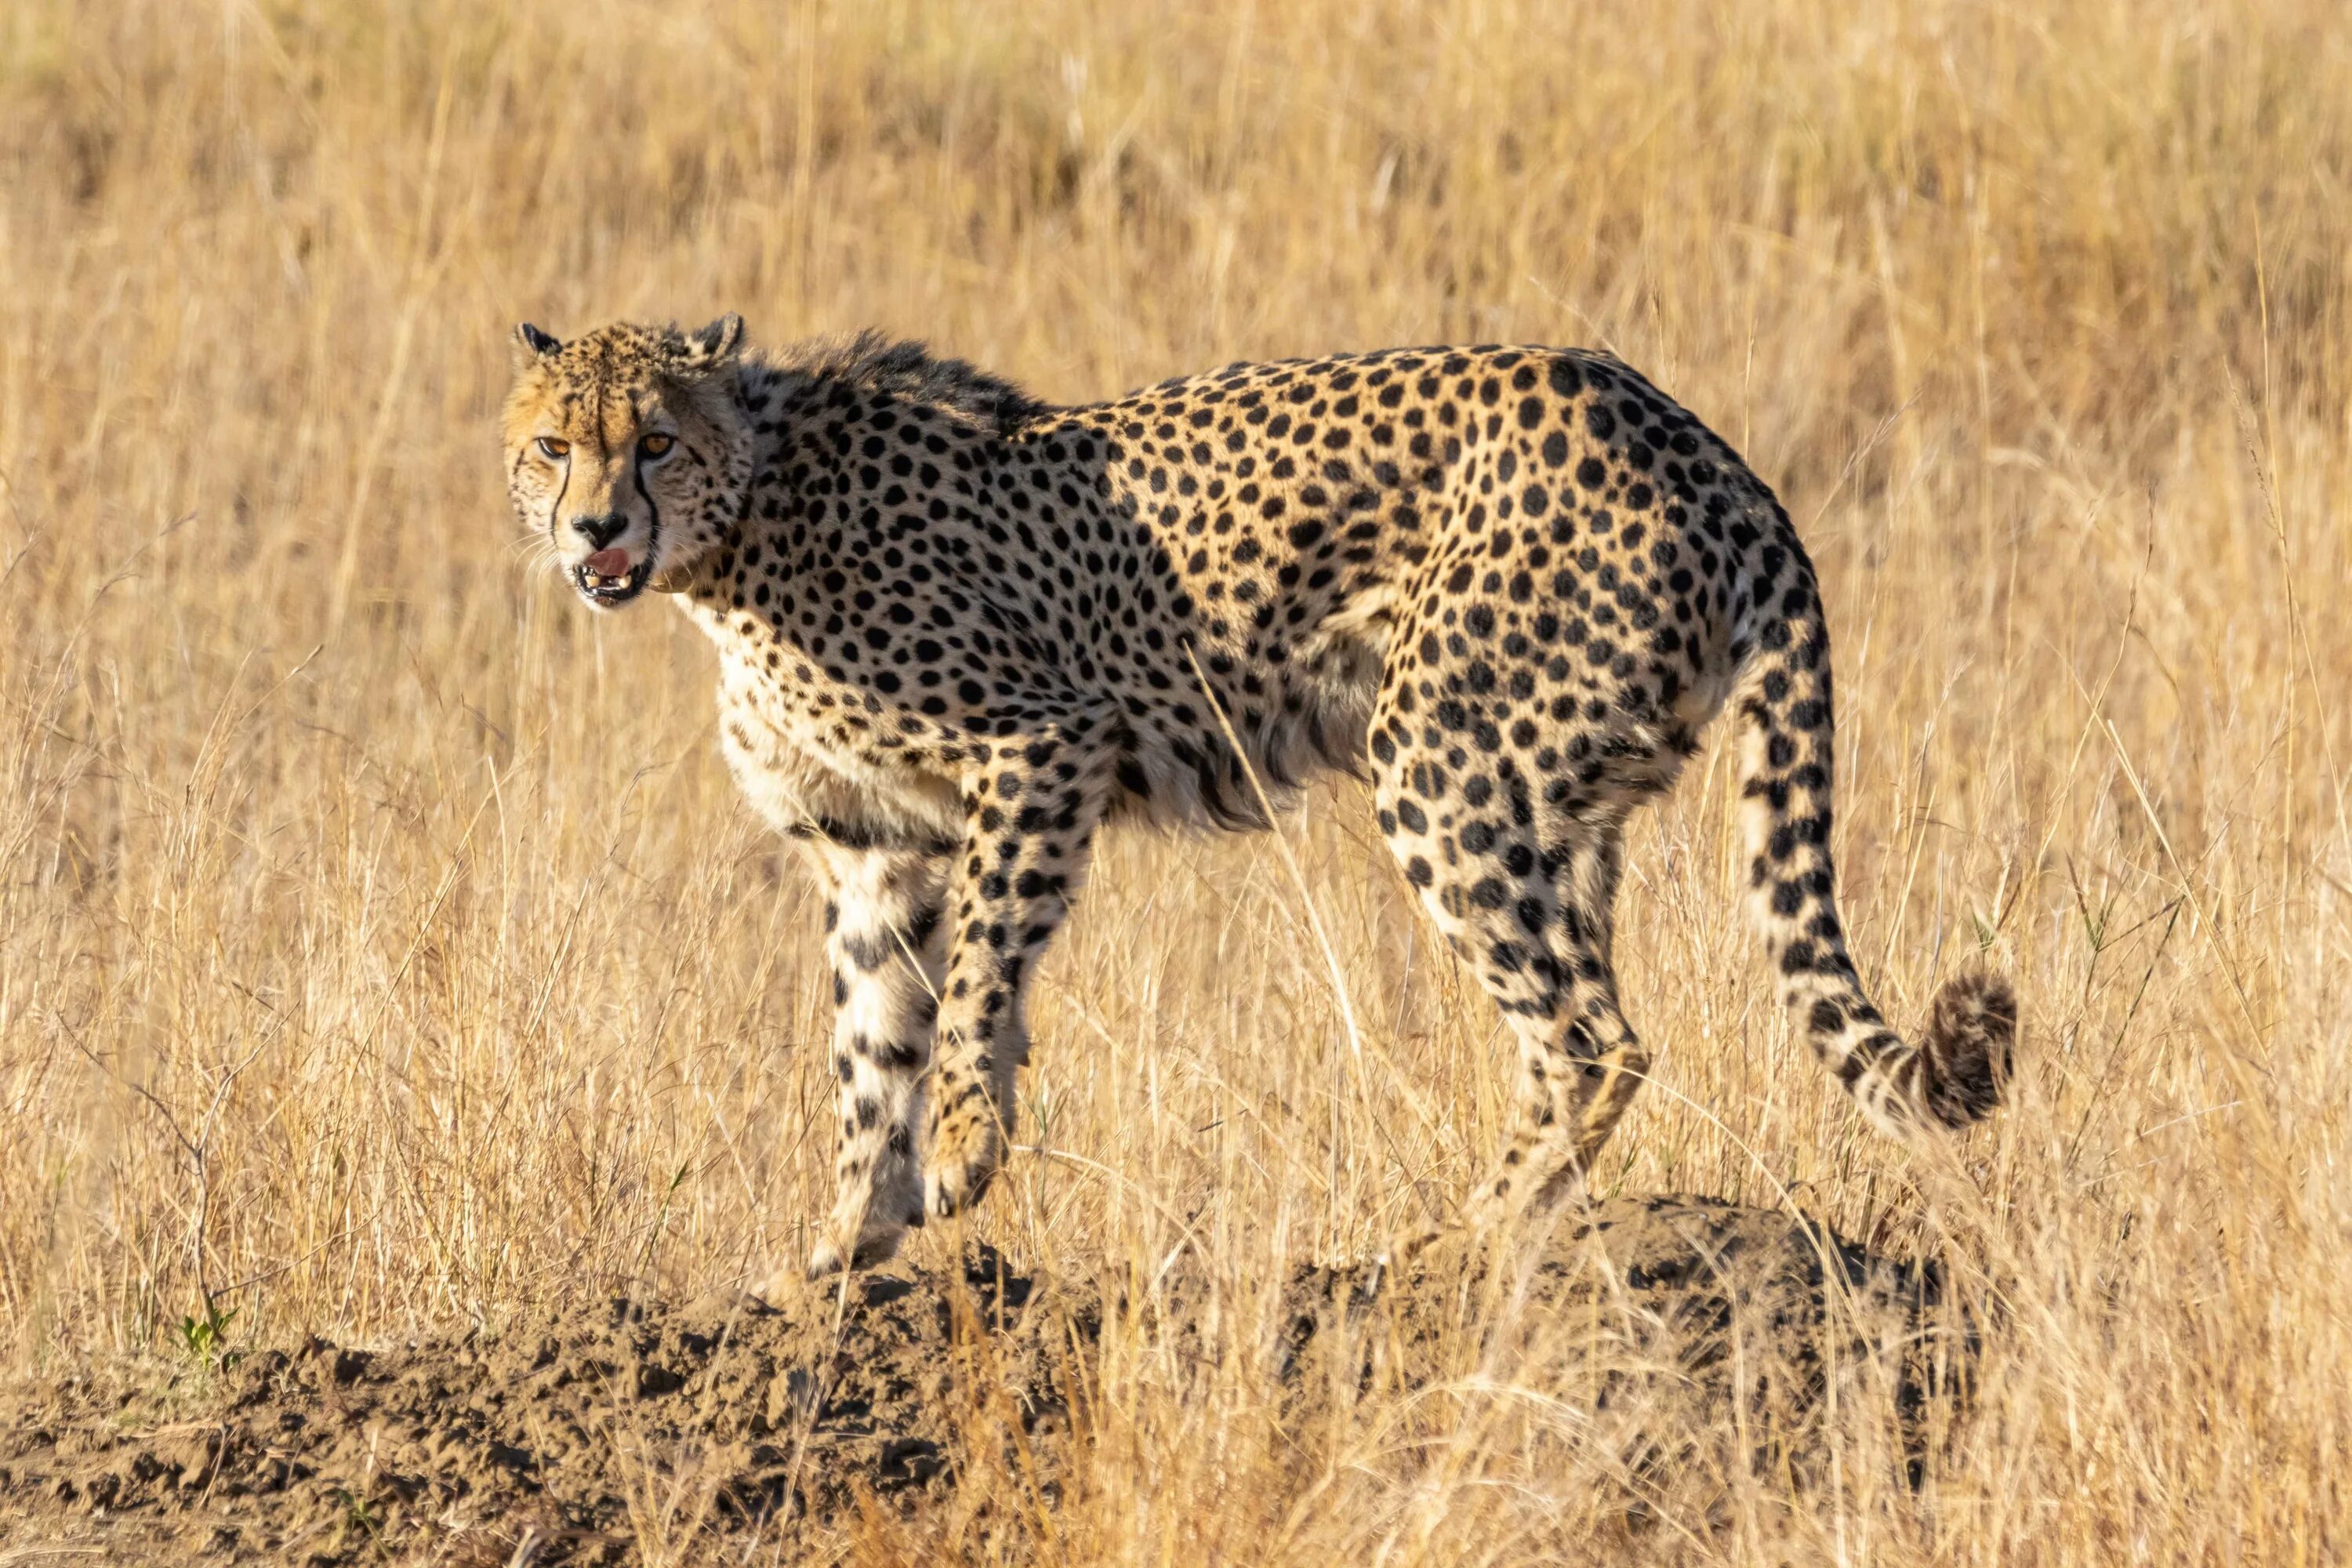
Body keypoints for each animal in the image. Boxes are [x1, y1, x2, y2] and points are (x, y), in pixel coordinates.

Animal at [501, 314, 2023, 1279]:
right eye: (551, 447)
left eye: (653, 442)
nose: (596, 528)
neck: (742, 531)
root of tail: (1690, 435)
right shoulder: (875, 847)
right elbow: (870, 1047)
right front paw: (842, 1248)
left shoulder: (1039, 745)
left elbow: (981, 978)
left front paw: (967, 1151)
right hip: (1565, 796)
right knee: (1582, 1022)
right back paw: (1515, 1228)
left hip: (1439, 758)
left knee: (1596, 1037)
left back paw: (1460, 1244)